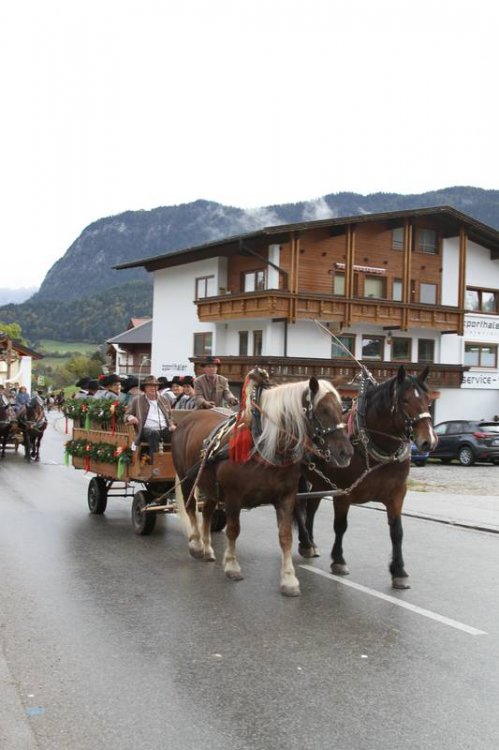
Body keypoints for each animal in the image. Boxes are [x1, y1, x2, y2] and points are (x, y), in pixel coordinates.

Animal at [171, 376, 354, 596]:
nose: (346, 452)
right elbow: (233, 530)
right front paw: (232, 565)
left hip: (210, 486)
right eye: (323, 410)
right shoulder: (233, 497)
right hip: (188, 478)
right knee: (191, 508)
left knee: (206, 511)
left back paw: (207, 549)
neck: (262, 444)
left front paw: (289, 579)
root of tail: (187, 419)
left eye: (341, 408)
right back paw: (197, 544)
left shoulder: (286, 497)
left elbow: (285, 537)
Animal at [295, 365, 438, 589]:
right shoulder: (343, 493)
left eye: (427, 399)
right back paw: (305, 541)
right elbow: (340, 526)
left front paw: (399, 571)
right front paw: (338, 560)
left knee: (311, 508)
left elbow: (397, 531)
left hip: (318, 481)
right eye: (405, 400)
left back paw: (310, 542)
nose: (428, 441)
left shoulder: (397, 494)